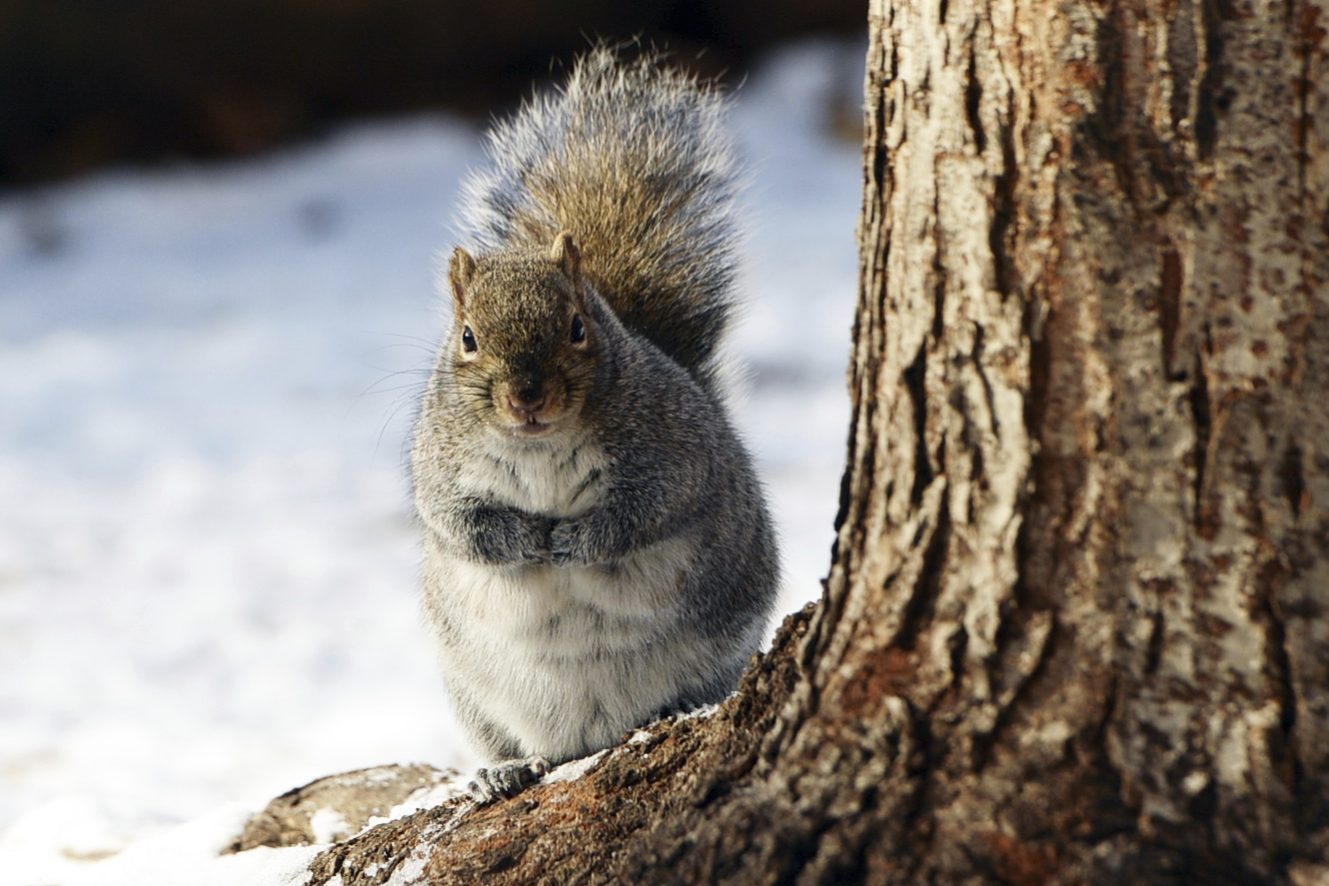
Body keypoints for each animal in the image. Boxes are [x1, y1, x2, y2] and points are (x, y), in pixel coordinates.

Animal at [411, 48, 779, 803]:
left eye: (578, 327)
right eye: (467, 337)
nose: (526, 396)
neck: (538, 444)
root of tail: (588, 736)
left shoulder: (674, 452)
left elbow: (643, 513)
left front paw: (572, 541)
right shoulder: (439, 468)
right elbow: (460, 524)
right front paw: (526, 539)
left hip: (725, 644)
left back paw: (676, 706)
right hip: (473, 696)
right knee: (515, 745)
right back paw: (504, 770)